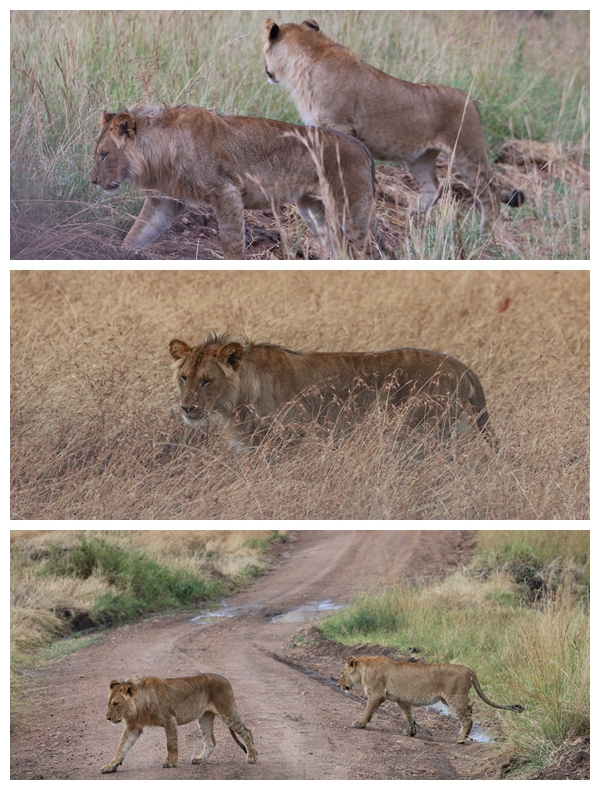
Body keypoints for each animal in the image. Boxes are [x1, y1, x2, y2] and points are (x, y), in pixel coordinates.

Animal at [92, 103, 386, 260]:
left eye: (104, 155)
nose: (93, 181)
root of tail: (362, 148)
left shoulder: (227, 191)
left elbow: (232, 245)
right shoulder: (165, 201)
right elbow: (137, 233)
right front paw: (119, 255)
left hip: (352, 210)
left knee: (373, 250)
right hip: (315, 210)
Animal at [99, 676, 258, 776]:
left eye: (116, 704)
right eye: (109, 703)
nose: (108, 718)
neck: (139, 706)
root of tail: (225, 679)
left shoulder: (170, 720)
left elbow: (171, 744)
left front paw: (170, 762)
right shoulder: (133, 727)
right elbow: (121, 747)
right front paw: (110, 766)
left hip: (227, 711)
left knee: (247, 731)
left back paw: (252, 757)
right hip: (204, 717)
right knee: (210, 742)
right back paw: (199, 759)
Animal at [170, 332, 496, 448]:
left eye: (207, 380)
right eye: (184, 377)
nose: (186, 408)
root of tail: (460, 366)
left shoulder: (297, 438)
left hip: (420, 432)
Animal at [264, 18, 524, 227]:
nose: (266, 71)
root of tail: (471, 101)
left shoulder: (339, 125)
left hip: (467, 153)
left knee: (490, 194)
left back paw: (483, 233)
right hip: (421, 157)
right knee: (434, 187)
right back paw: (412, 216)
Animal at [340, 660, 524, 744]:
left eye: (342, 673)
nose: (339, 684)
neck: (363, 670)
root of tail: (467, 668)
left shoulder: (377, 695)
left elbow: (368, 710)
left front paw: (360, 723)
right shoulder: (402, 700)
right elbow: (409, 716)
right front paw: (410, 732)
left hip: (455, 697)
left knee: (468, 716)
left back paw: (460, 739)